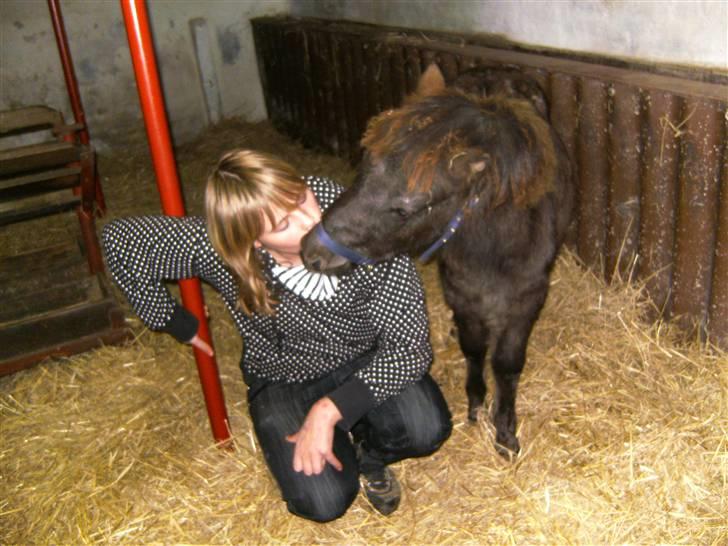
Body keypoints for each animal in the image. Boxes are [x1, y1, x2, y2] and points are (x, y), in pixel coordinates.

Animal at [302, 65, 576, 454]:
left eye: (405, 209)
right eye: (364, 167)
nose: (311, 251)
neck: (493, 248)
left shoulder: (525, 302)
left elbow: (507, 364)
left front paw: (505, 431)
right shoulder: (461, 295)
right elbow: (474, 349)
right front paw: (476, 405)